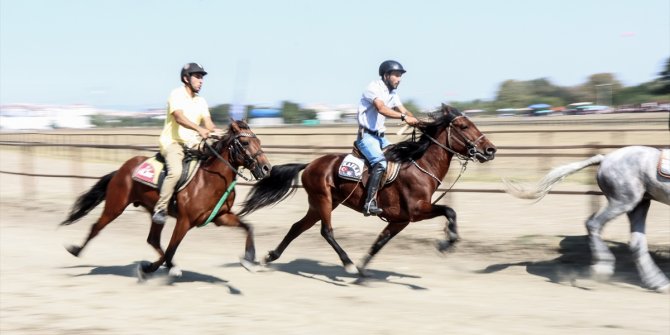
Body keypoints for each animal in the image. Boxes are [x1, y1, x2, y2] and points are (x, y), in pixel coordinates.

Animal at [59, 121, 270, 278]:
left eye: (259, 141)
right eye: (245, 142)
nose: (266, 168)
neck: (209, 179)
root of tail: (121, 170)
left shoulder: (221, 216)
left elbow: (248, 227)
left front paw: (249, 260)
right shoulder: (184, 221)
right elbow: (170, 249)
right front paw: (151, 267)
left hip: (155, 212)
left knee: (152, 239)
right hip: (115, 206)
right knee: (96, 227)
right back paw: (75, 250)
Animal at [242, 105, 498, 276]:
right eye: (464, 126)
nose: (491, 149)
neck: (419, 166)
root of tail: (310, 164)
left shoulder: (400, 220)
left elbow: (380, 242)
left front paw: (364, 268)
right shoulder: (417, 211)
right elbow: (449, 211)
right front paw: (447, 243)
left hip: (321, 203)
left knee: (297, 227)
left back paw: (269, 258)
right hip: (323, 200)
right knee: (326, 231)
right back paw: (347, 263)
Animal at [506, 146, 668, 292]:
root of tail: (605, 158)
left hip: (639, 203)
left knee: (636, 242)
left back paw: (659, 283)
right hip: (624, 200)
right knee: (593, 223)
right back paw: (602, 269)